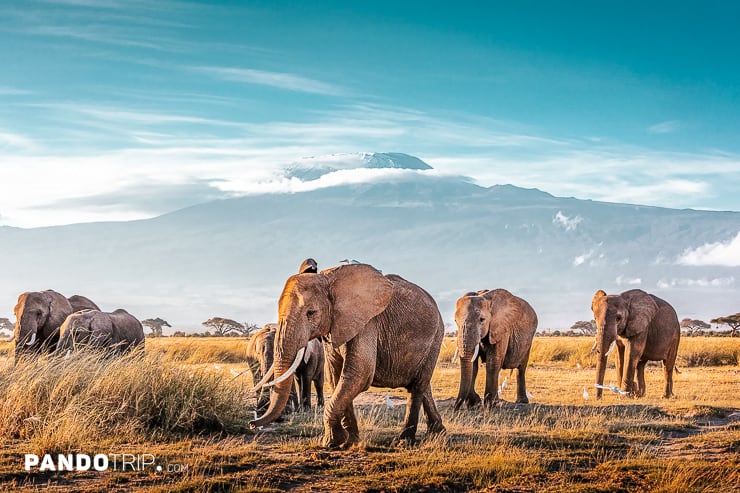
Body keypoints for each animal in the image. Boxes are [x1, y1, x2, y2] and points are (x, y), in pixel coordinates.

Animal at [249, 260, 446, 448]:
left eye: (311, 313)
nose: (252, 423)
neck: (328, 279)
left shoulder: (367, 323)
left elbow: (359, 374)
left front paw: (332, 442)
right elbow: (337, 376)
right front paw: (350, 442)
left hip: (436, 336)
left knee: (418, 386)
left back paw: (404, 441)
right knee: (421, 384)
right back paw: (438, 432)